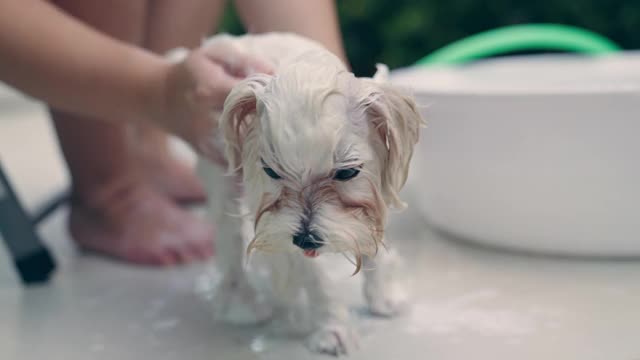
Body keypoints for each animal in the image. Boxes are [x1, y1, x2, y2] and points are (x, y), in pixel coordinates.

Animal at [171, 32, 424, 356]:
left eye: (346, 172)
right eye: (271, 171)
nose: (306, 239)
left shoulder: (375, 193)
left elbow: (374, 240)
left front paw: (385, 295)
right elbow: (317, 279)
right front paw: (334, 330)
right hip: (221, 176)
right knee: (230, 241)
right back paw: (241, 302)